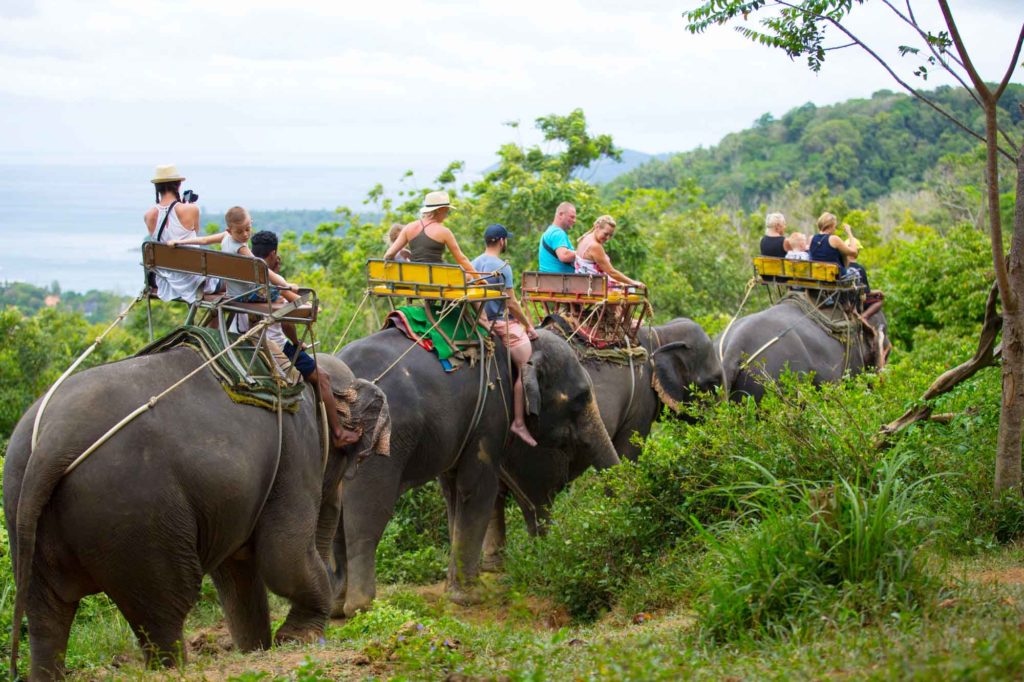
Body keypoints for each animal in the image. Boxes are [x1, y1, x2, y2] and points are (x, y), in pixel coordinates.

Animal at [4, 349, 389, 680]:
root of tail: (53, 442)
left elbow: (237, 571)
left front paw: (256, 649)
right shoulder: (295, 451)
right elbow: (282, 557)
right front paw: (297, 640)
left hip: (28, 510)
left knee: (47, 616)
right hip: (138, 513)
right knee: (164, 606)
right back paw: (177, 668)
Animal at [331, 326, 618, 616]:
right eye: (581, 397)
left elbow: (453, 494)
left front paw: (454, 591)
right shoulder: (491, 416)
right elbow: (479, 489)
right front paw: (471, 598)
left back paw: (336, 608)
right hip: (377, 443)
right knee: (369, 513)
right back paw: (362, 608)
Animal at [481, 317, 721, 567]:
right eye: (714, 383)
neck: (658, 333)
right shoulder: (641, 403)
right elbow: (628, 454)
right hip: (529, 450)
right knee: (538, 499)